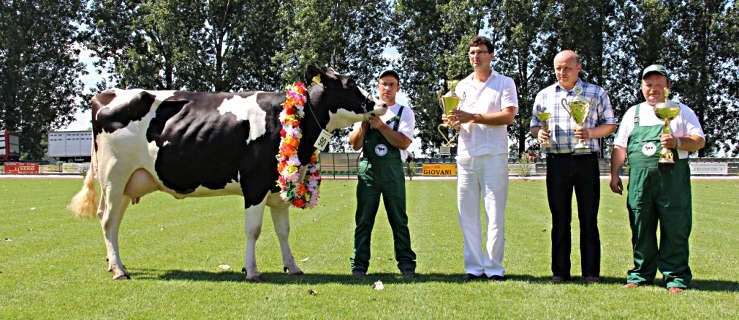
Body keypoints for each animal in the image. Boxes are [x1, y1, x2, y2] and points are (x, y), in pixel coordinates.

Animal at [68, 65, 388, 280]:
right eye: (349, 83)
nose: (382, 103)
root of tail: (107, 95)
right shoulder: (255, 184)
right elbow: (253, 230)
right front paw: (252, 270)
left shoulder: (276, 189)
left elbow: (283, 230)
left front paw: (293, 266)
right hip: (114, 175)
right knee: (108, 221)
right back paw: (119, 270)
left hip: (126, 183)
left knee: (111, 221)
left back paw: (113, 263)